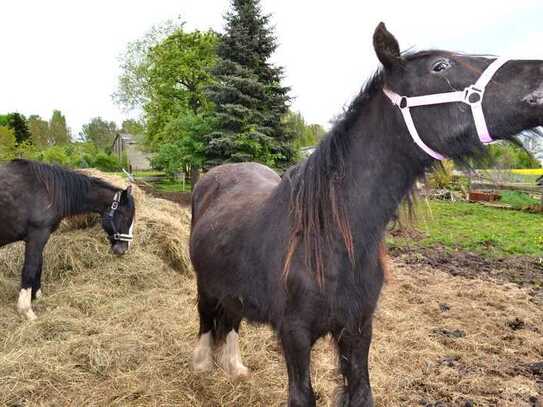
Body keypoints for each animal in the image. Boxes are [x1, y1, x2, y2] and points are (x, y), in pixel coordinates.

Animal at [0, 159, 135, 322]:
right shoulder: (37, 236)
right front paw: (26, 311)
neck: (47, 190)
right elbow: (30, 269)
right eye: (126, 217)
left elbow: (39, 265)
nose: (123, 249)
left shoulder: (40, 238)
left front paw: (37, 297)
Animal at [190, 23, 543, 406]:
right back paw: (202, 366)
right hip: (205, 285)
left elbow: (361, 392)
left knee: (231, 320)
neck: (329, 237)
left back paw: (235, 368)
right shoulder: (294, 335)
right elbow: (302, 395)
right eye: (440, 67)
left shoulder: (358, 329)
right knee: (207, 320)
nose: (540, 75)